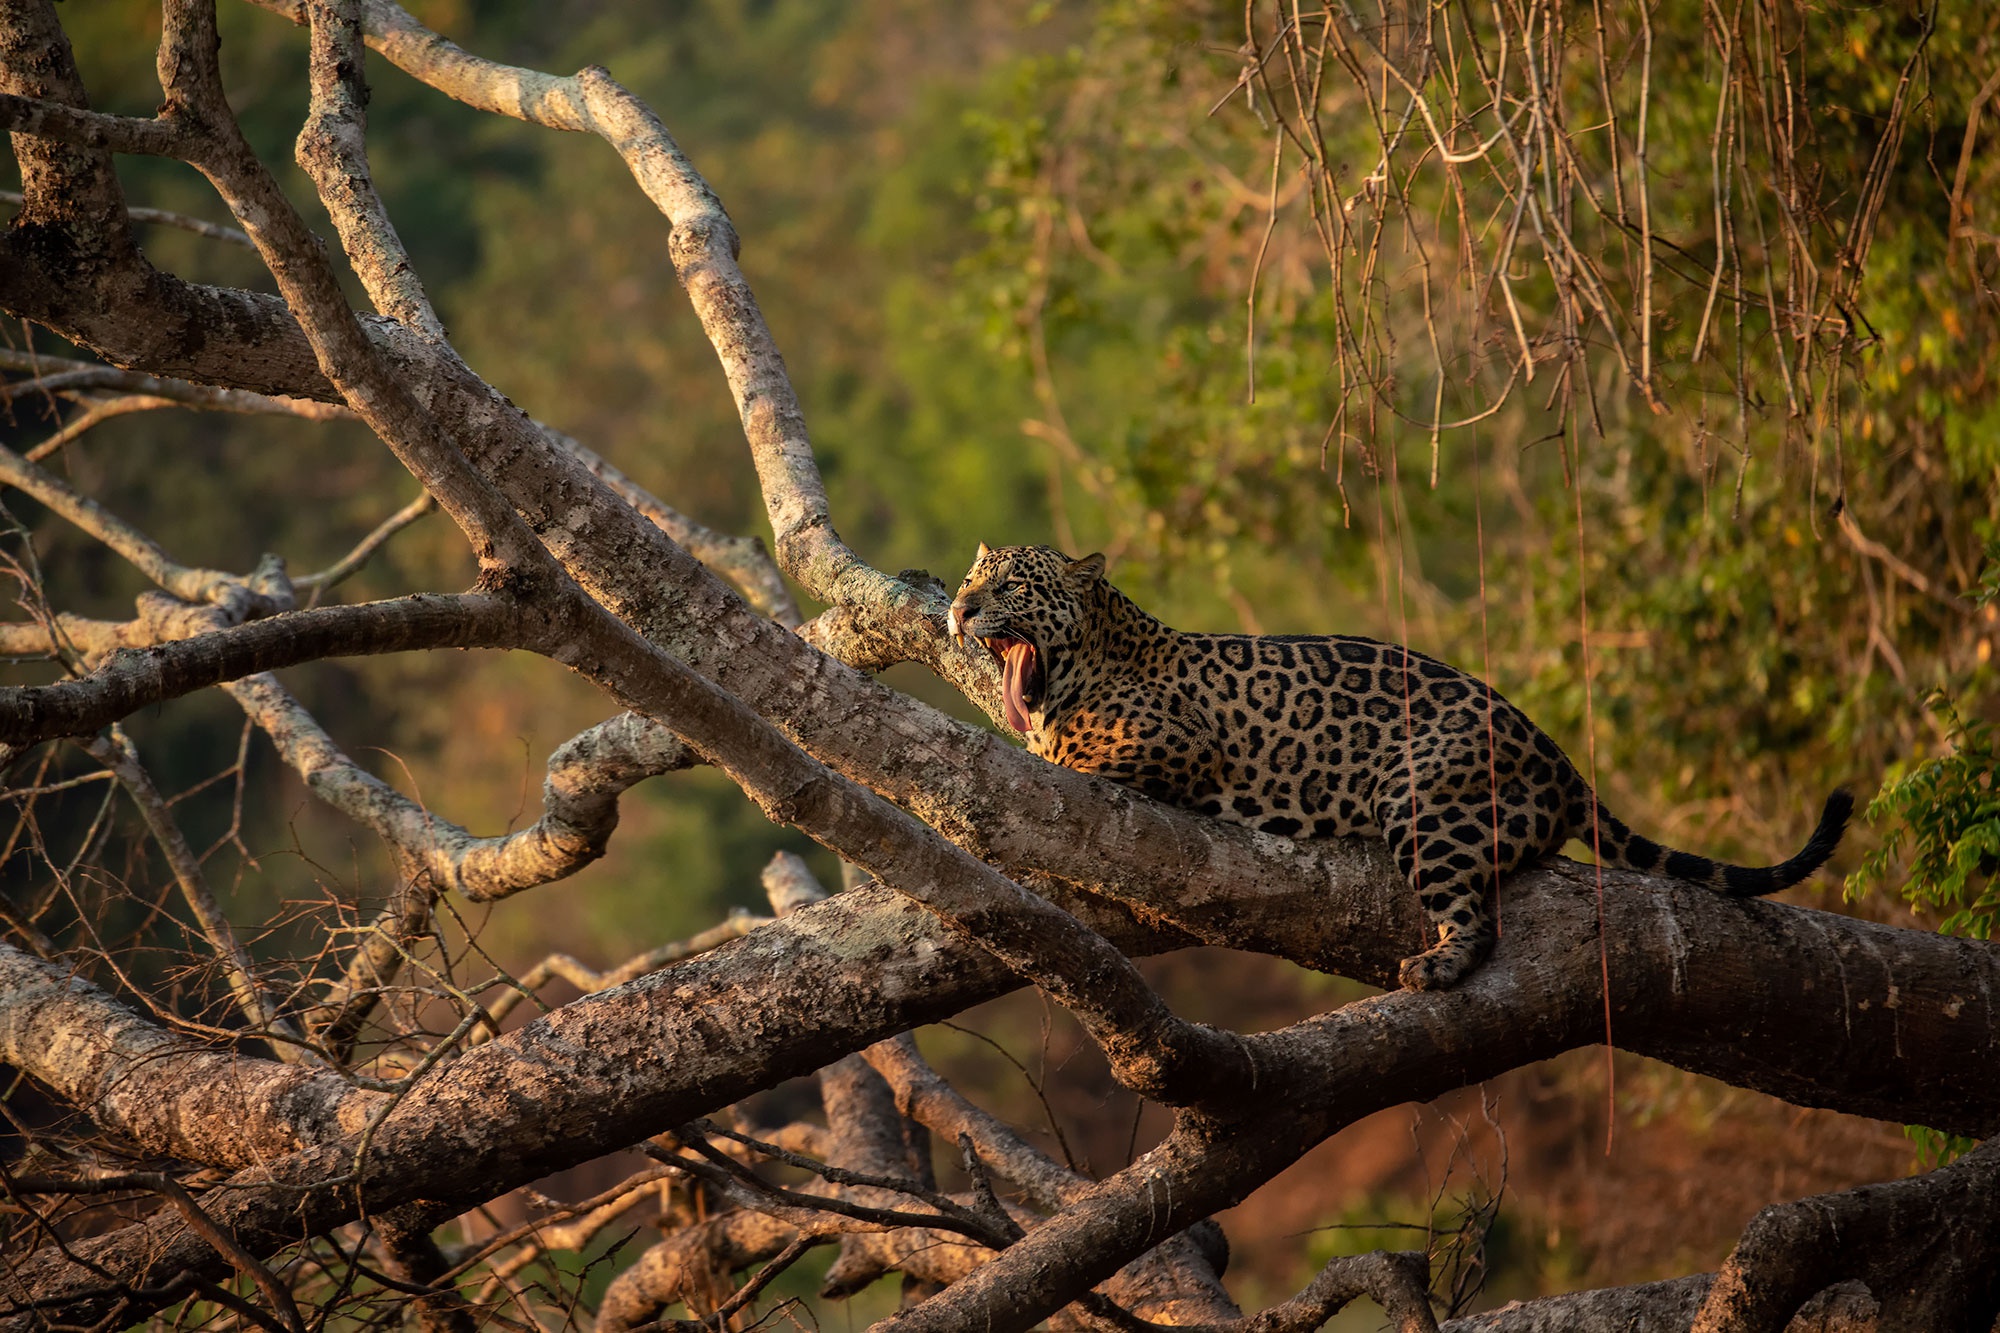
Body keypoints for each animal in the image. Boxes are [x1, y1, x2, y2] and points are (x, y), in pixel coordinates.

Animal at [944, 540, 1848, 984]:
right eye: (968, 577)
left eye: (1013, 584)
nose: (959, 607)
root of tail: (1555, 752)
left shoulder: (1180, 740)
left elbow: (1082, 761)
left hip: (1422, 804)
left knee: (1475, 921)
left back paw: (1436, 966)